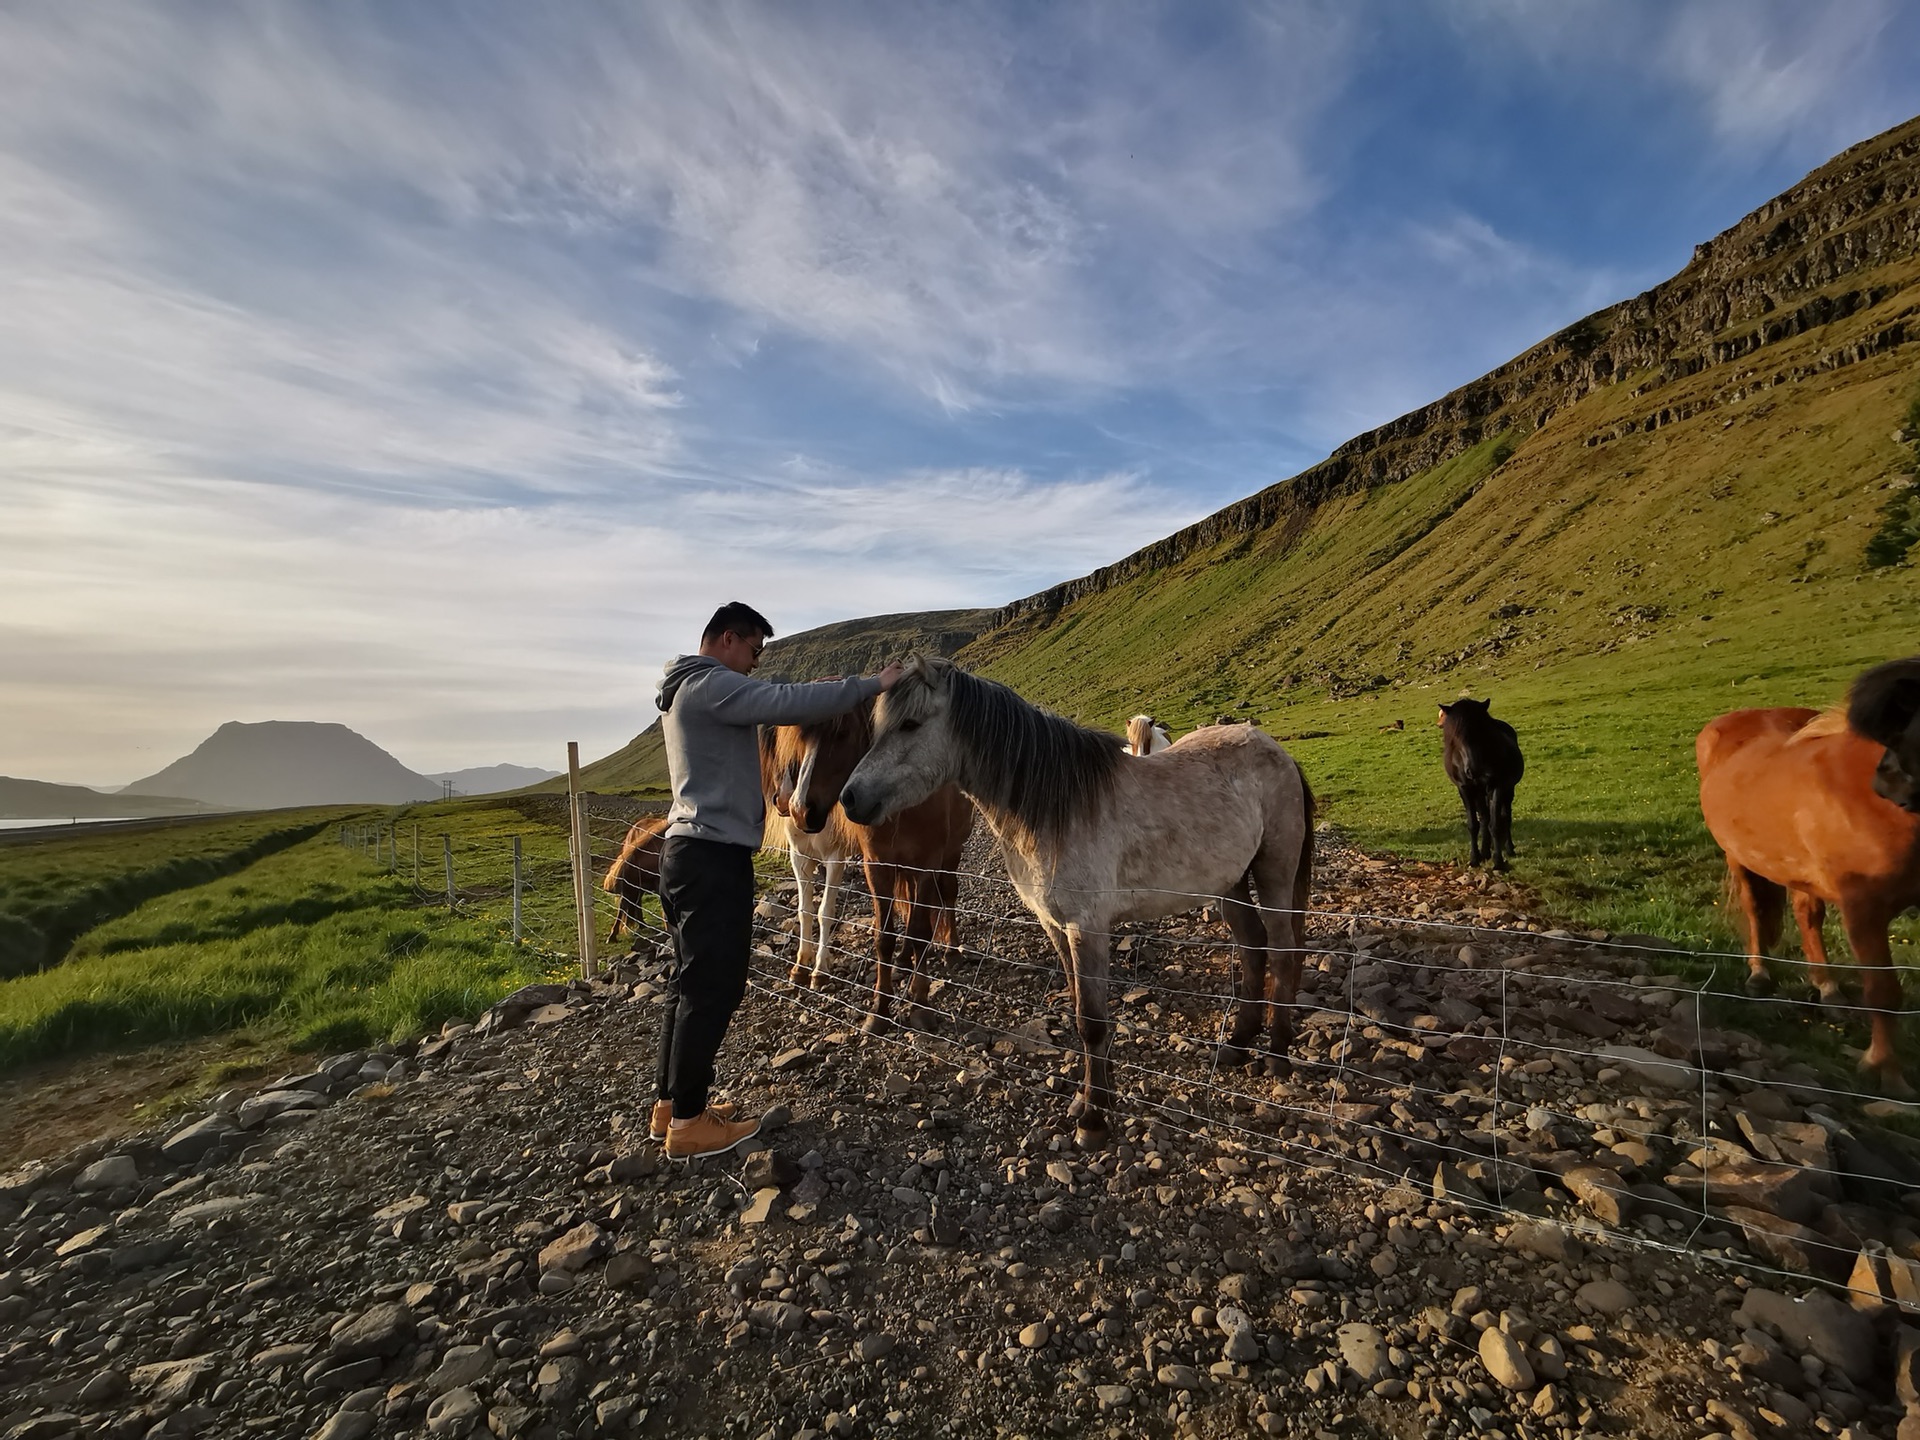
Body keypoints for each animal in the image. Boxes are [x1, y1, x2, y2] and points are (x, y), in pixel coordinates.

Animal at [844, 656, 1320, 1152]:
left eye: (911, 724)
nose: (851, 798)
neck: (1056, 808)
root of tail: (1278, 751)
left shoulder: (1087, 927)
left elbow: (1092, 1021)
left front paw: (1093, 1120)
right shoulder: (1055, 924)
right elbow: (1078, 1009)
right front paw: (1092, 1099)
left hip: (1274, 872)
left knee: (1283, 950)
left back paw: (1277, 1053)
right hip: (1229, 883)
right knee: (1252, 947)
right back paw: (1238, 1043)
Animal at [1443, 698, 1528, 867]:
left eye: (1482, 732)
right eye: (1456, 736)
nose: (1474, 770)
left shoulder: (1497, 786)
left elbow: (1495, 824)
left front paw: (1498, 861)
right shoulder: (1465, 789)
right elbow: (1474, 824)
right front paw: (1475, 858)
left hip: (1508, 790)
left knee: (1505, 816)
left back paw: (1508, 848)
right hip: (1479, 793)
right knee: (1484, 818)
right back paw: (1485, 851)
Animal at [1697, 664, 1920, 1090]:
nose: (1891, 787)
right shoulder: (1862, 910)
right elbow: (1884, 993)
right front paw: (1886, 1071)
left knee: (1806, 915)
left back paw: (1827, 987)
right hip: (1740, 858)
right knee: (1755, 910)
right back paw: (1759, 974)